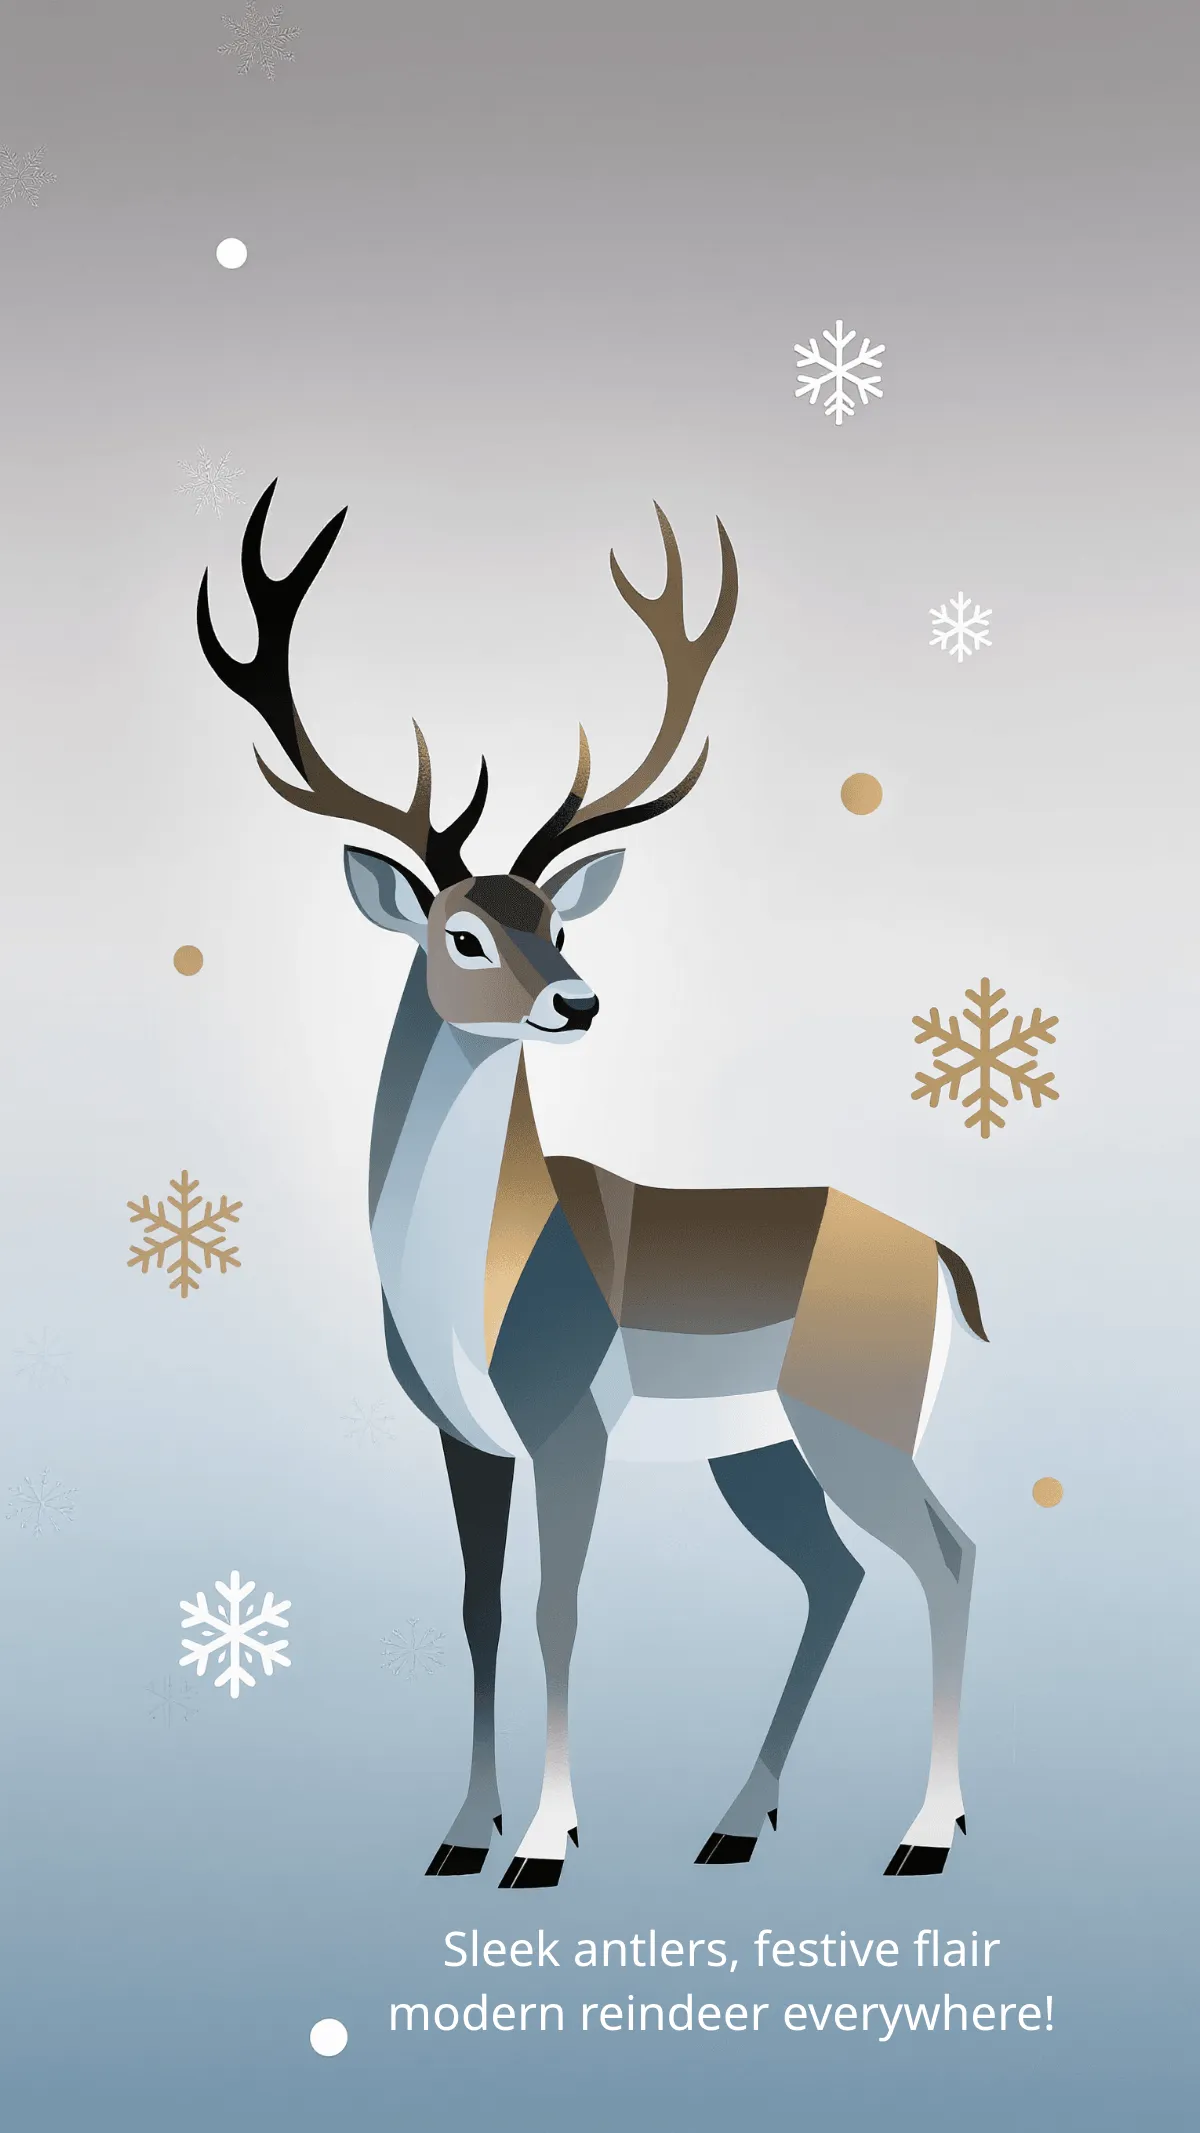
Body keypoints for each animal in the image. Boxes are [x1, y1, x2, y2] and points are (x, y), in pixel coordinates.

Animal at [197, 483, 987, 1888]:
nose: (579, 1002)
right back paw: (734, 1823)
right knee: (837, 1576)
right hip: (762, 1453)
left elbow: (559, 1605)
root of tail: (940, 1256)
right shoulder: (464, 1437)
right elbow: (479, 1608)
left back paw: (923, 1837)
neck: (478, 1270)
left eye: (559, 925)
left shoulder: (572, 1425)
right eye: (463, 930)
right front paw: (463, 1834)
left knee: (947, 1557)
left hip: (858, 1429)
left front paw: (547, 1844)